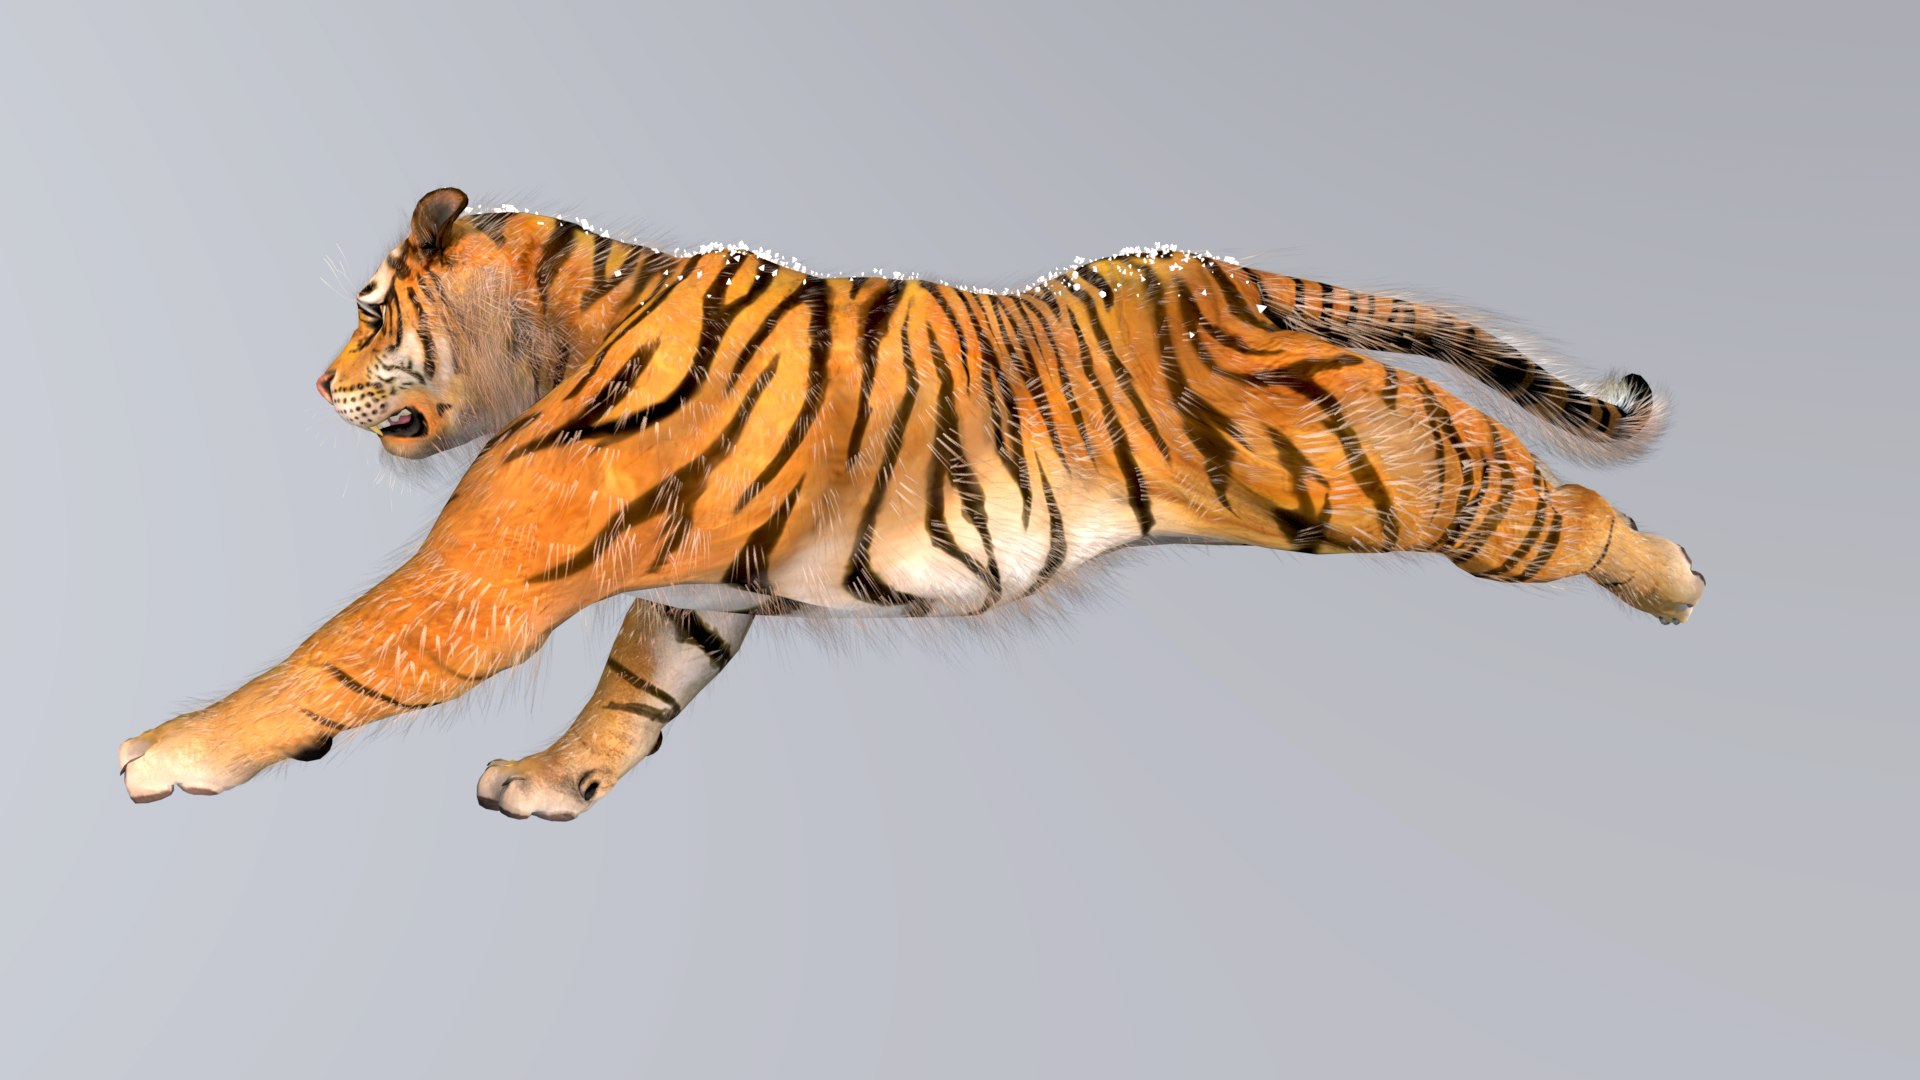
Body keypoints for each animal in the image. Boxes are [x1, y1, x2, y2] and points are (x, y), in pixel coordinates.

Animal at [119, 187, 1705, 820]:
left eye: (367, 310)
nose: (313, 380)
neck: (566, 320)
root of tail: (1217, 270)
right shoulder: (696, 594)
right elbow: (633, 697)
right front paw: (553, 785)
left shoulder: (492, 565)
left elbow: (340, 651)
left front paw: (172, 751)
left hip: (1385, 467)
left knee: (1554, 510)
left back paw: (1681, 579)